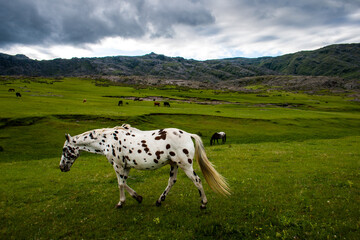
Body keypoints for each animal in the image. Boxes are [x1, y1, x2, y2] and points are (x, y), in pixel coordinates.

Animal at [57, 124, 229, 208]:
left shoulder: (118, 165)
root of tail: (187, 134)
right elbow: (124, 182)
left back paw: (203, 203)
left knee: (197, 181)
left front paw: (121, 203)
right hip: (174, 164)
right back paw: (159, 201)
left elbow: (120, 184)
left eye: (65, 149)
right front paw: (137, 197)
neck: (107, 140)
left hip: (185, 165)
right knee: (171, 182)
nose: (61, 167)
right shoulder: (125, 166)